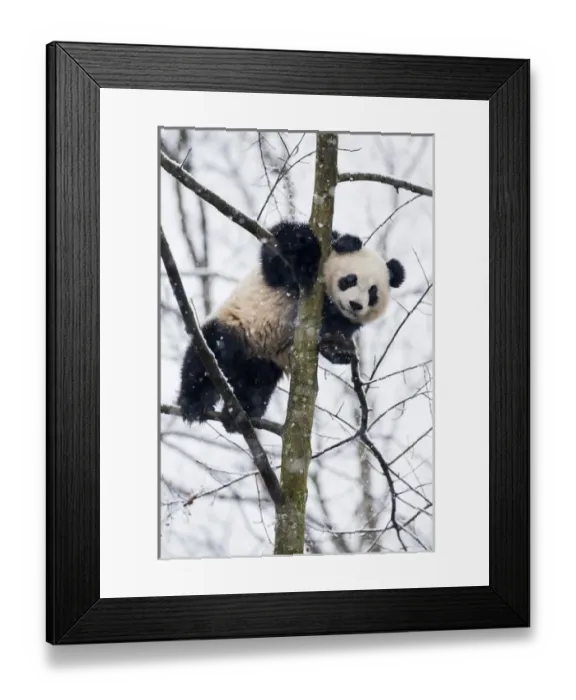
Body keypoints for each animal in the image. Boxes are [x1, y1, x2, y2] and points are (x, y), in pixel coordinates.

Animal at [177, 220, 406, 433]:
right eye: (350, 280)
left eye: (373, 292)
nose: (356, 305)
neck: (328, 300)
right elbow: (279, 249)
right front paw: (309, 255)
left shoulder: (342, 319)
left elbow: (333, 332)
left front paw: (339, 349)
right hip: (238, 324)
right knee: (210, 352)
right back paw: (193, 403)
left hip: (264, 361)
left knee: (257, 383)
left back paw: (240, 414)